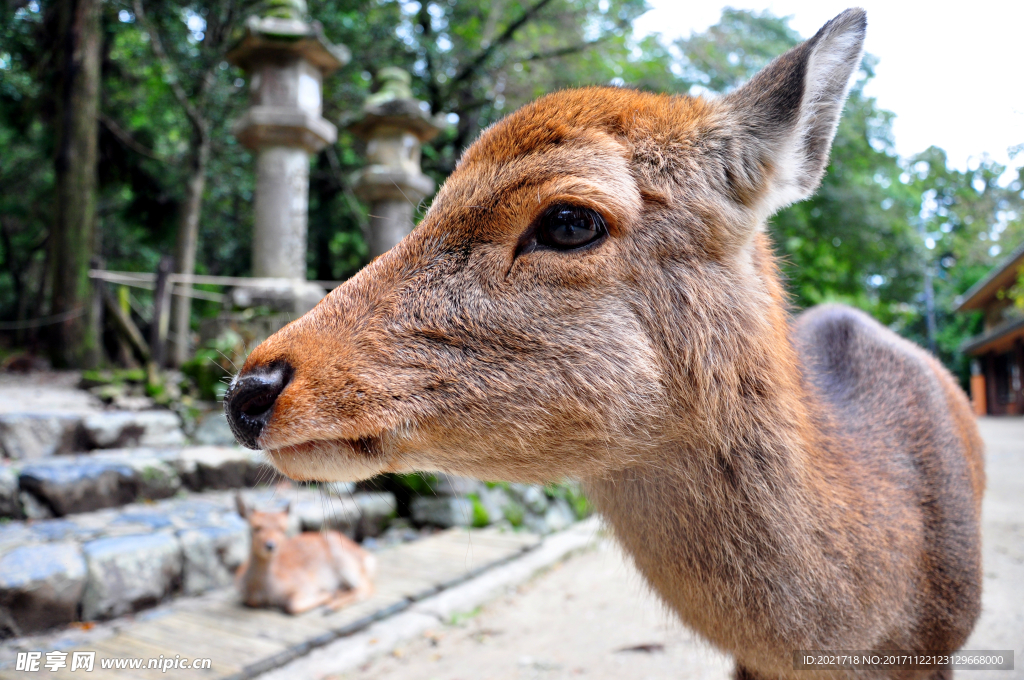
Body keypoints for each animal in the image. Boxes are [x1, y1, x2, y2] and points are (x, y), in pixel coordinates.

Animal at [234, 493, 374, 614]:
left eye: (282, 529)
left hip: (346, 562)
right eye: (255, 528)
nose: (270, 545)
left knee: (366, 588)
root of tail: (365, 555)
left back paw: (331, 606)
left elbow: (292, 606)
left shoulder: (305, 585)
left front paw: (326, 595)